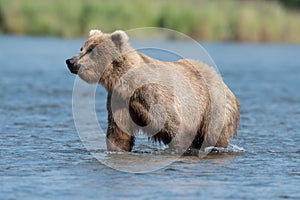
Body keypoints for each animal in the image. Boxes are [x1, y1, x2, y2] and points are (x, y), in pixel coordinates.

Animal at [65, 29, 239, 152]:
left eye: (91, 50)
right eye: (82, 48)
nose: (70, 61)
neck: (126, 84)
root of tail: (222, 81)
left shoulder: (154, 96)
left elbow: (174, 126)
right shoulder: (119, 100)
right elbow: (118, 133)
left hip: (214, 108)